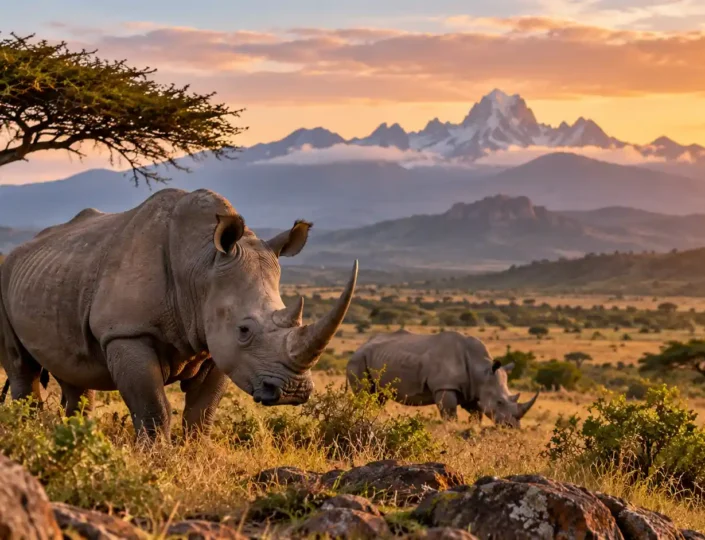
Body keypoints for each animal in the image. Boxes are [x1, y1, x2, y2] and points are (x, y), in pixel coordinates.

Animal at [0, 188, 357, 440]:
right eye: (244, 330)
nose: (293, 391)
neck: (201, 266)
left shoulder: (214, 342)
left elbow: (202, 412)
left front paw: (197, 457)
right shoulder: (127, 332)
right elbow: (153, 410)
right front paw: (155, 464)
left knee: (74, 377)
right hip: (5, 277)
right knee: (23, 369)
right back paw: (28, 434)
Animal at [346, 330, 538, 427]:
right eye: (499, 402)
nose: (512, 427)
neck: (481, 370)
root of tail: (360, 346)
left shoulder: (473, 390)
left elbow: (477, 414)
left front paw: (474, 429)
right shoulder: (446, 386)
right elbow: (450, 414)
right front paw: (452, 431)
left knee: (378, 398)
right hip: (358, 360)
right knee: (366, 395)